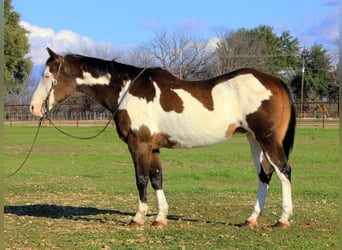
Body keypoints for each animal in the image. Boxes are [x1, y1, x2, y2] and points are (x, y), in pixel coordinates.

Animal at [30, 47, 296, 229]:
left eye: (47, 76)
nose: (33, 108)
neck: (127, 89)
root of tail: (275, 81)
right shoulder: (153, 147)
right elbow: (157, 178)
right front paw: (159, 218)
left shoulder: (139, 145)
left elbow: (141, 179)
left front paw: (138, 217)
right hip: (254, 140)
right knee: (264, 174)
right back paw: (251, 219)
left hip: (267, 139)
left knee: (283, 171)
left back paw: (283, 219)